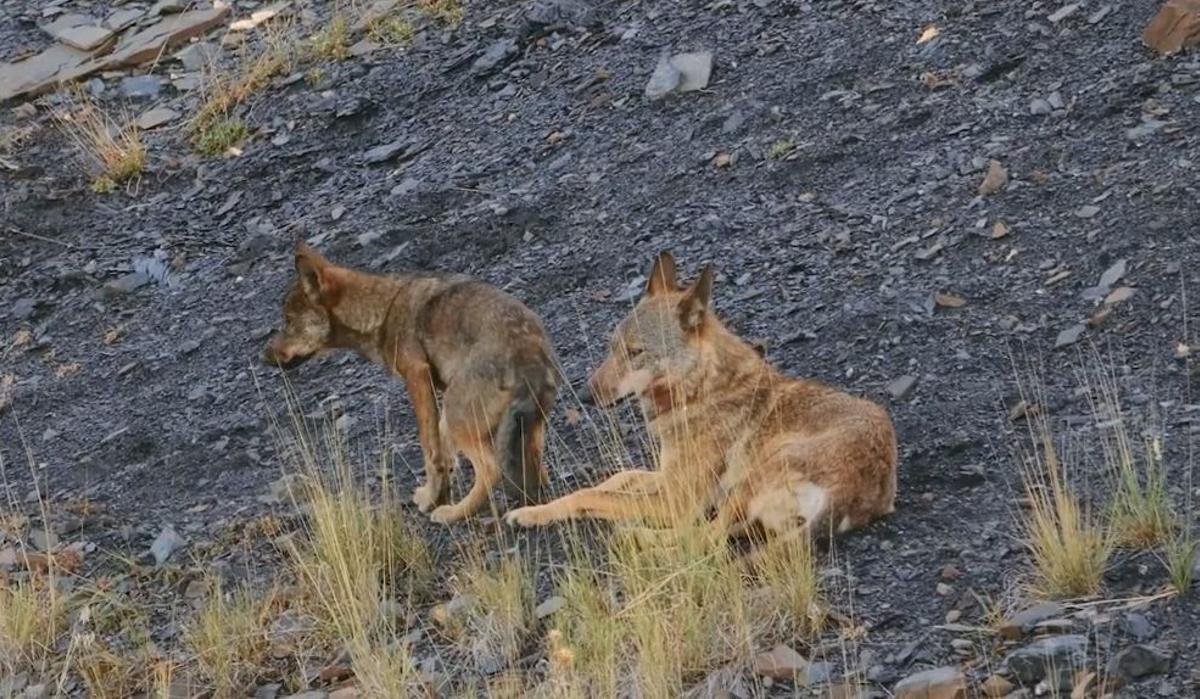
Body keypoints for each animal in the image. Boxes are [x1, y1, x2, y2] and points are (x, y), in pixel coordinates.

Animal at [262, 243, 558, 523]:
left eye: (289, 322)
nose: (263, 356)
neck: (382, 310)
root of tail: (529, 352)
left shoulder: (416, 376)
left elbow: (430, 447)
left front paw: (432, 500)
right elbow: (442, 447)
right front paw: (436, 492)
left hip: (458, 414)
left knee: (491, 469)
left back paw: (455, 512)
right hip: (523, 425)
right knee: (535, 465)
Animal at [505, 252, 897, 545]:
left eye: (636, 352)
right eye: (612, 348)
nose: (585, 396)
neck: (698, 390)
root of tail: (859, 490)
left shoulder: (676, 500)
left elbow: (593, 495)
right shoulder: (666, 476)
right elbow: (613, 480)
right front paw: (531, 512)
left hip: (749, 476)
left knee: (701, 539)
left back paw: (639, 536)